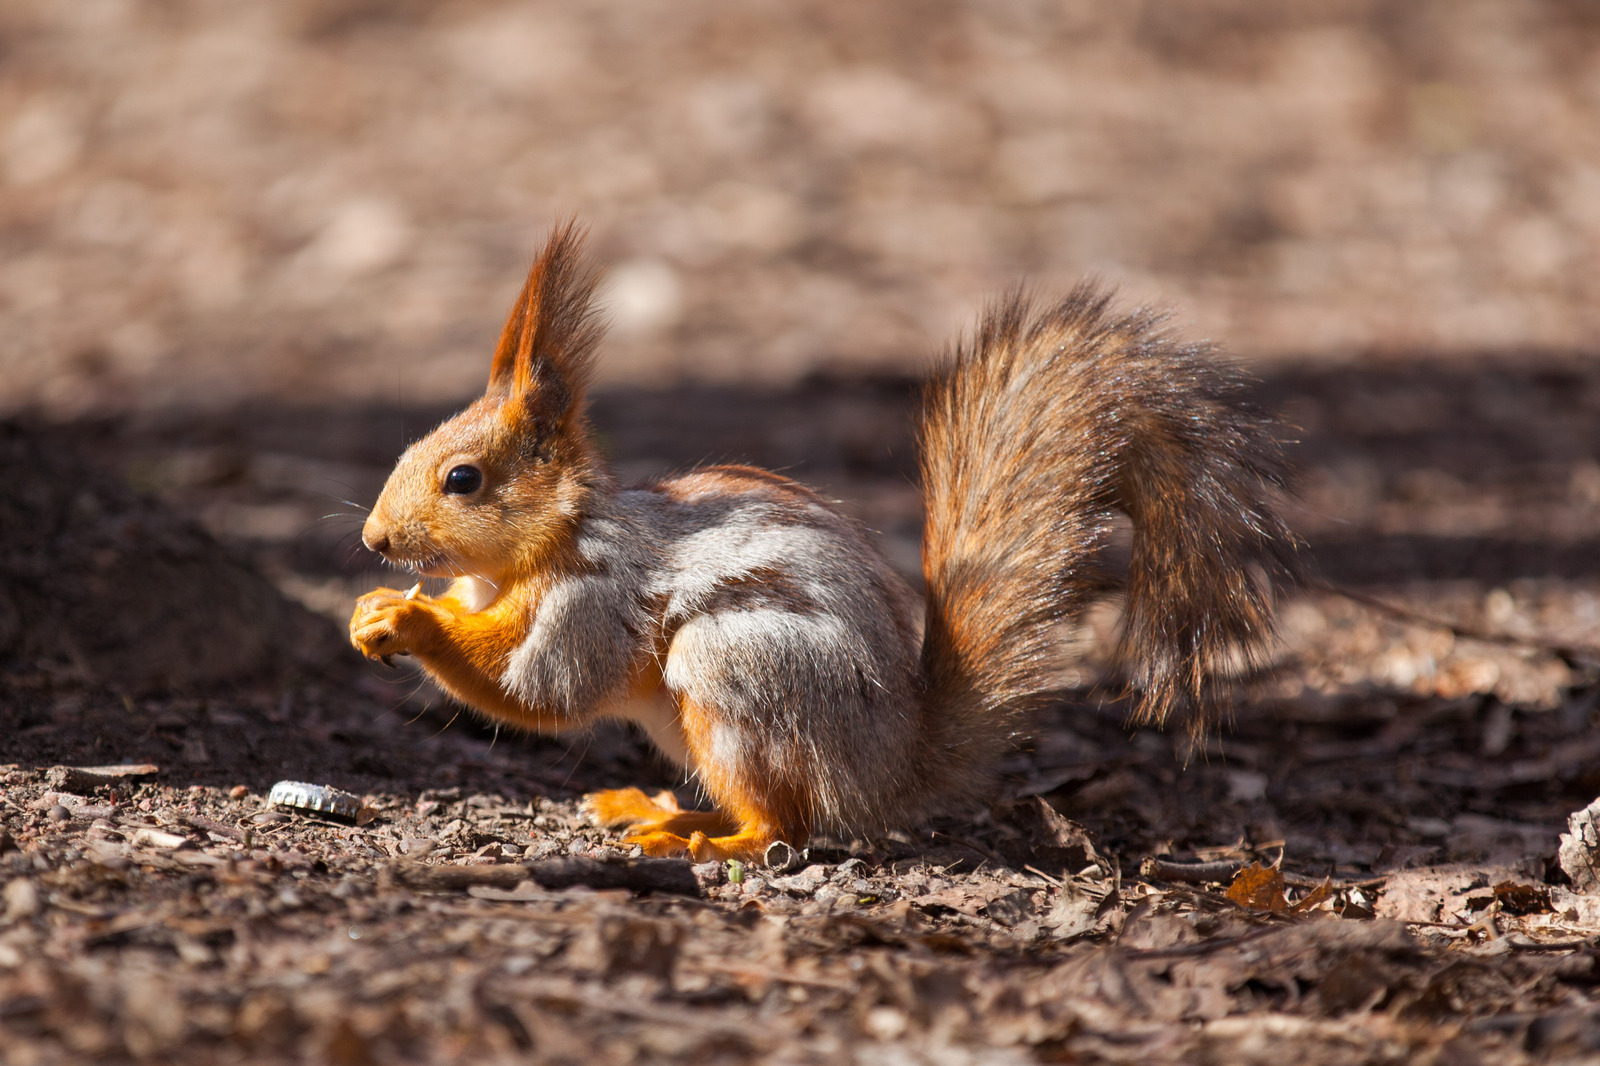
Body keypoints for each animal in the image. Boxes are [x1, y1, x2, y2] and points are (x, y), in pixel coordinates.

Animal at [353, 219, 1299, 857]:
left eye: (463, 479)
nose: (373, 540)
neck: (541, 548)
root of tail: (892, 770)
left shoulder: (597, 592)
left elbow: (541, 687)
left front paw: (409, 620)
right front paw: (373, 608)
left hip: (736, 667)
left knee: (789, 824)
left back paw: (710, 840)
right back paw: (662, 811)